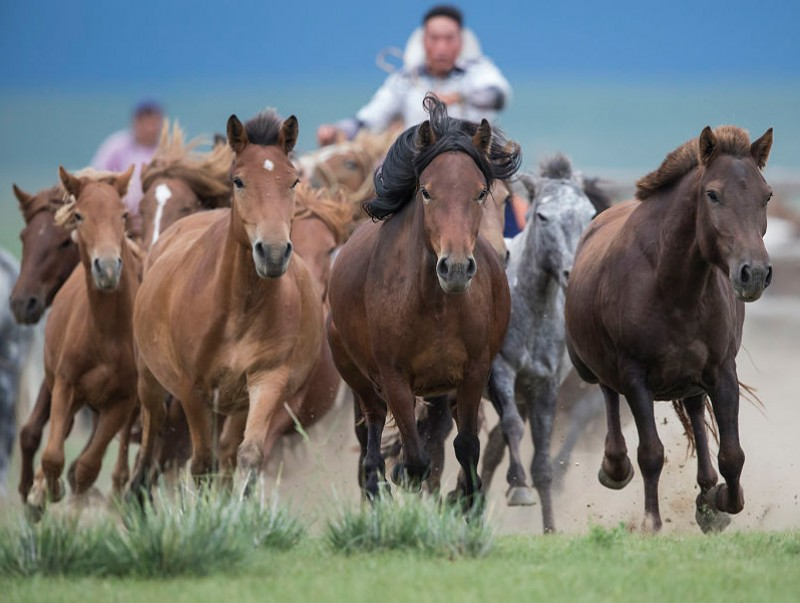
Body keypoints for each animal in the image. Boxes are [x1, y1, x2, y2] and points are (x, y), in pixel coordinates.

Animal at [26, 165, 141, 519]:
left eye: (123, 214)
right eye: (79, 215)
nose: (108, 267)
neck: (107, 335)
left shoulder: (123, 400)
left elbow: (88, 467)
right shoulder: (66, 384)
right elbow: (53, 455)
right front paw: (45, 492)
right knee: (59, 434)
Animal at [128, 109, 324, 500]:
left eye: (293, 181)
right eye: (238, 181)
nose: (273, 252)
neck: (239, 309)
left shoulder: (267, 379)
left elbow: (247, 456)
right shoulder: (191, 389)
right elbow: (201, 462)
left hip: (236, 404)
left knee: (229, 454)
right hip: (150, 381)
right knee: (151, 434)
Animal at [326, 95, 520, 507]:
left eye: (481, 192)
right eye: (427, 192)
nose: (456, 267)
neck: (435, 307)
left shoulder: (473, 373)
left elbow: (465, 447)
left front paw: (467, 503)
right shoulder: (394, 378)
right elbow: (414, 459)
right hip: (358, 378)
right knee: (371, 435)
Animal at [474, 155, 596, 533]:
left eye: (590, 214)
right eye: (542, 215)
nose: (572, 272)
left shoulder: (544, 385)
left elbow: (541, 459)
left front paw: (550, 527)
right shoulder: (501, 372)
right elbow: (512, 428)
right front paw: (519, 488)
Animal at [564, 125, 774, 533]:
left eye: (766, 195)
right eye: (713, 194)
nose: (754, 273)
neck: (674, 287)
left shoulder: (722, 371)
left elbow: (732, 454)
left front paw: (719, 501)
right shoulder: (634, 376)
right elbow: (650, 453)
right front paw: (651, 522)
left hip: (690, 379)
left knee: (694, 412)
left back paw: (706, 491)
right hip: (591, 366)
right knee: (607, 392)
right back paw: (615, 467)